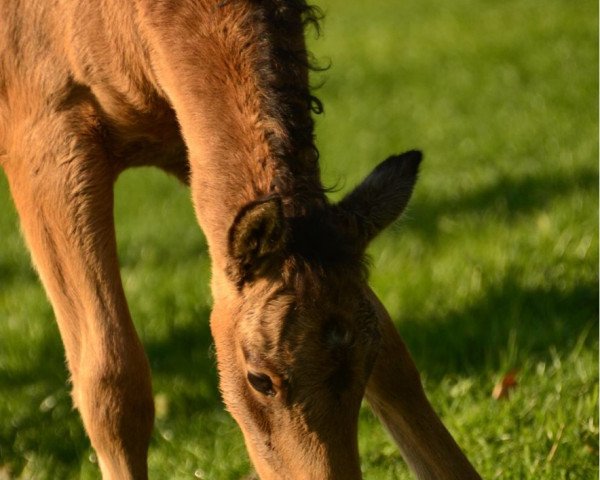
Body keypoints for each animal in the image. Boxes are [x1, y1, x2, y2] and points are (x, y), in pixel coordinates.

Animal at [0, 0, 478, 480]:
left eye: (367, 363)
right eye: (259, 379)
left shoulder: (186, 143)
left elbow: (396, 358)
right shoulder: (44, 135)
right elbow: (111, 382)